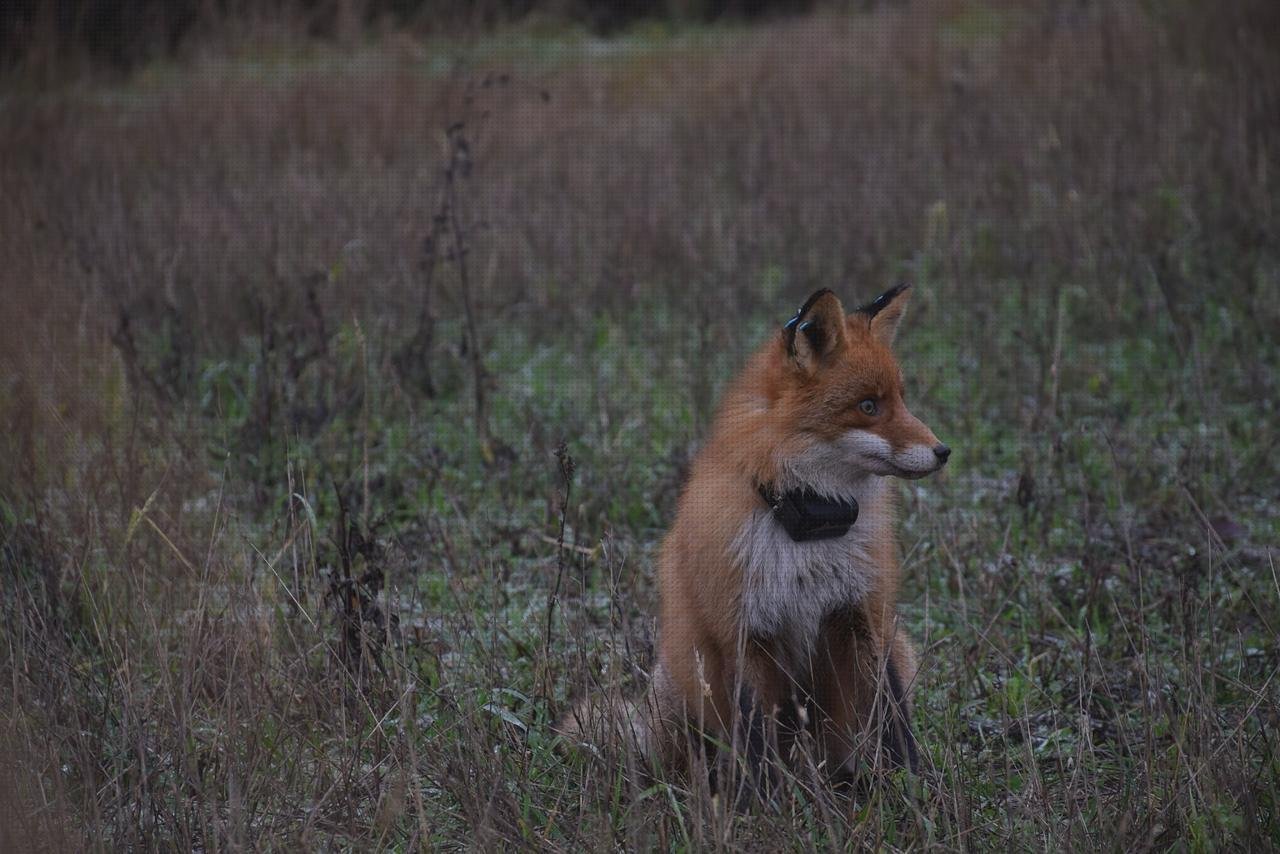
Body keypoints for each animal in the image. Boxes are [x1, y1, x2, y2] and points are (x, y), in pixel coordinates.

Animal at [560, 285, 952, 793]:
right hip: (689, 684)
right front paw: (761, 806)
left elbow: (894, 718)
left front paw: (916, 790)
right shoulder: (744, 634)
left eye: (903, 400)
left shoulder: (866, 618)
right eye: (868, 406)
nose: (944, 451)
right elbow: (756, 741)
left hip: (895, 651)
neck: (808, 532)